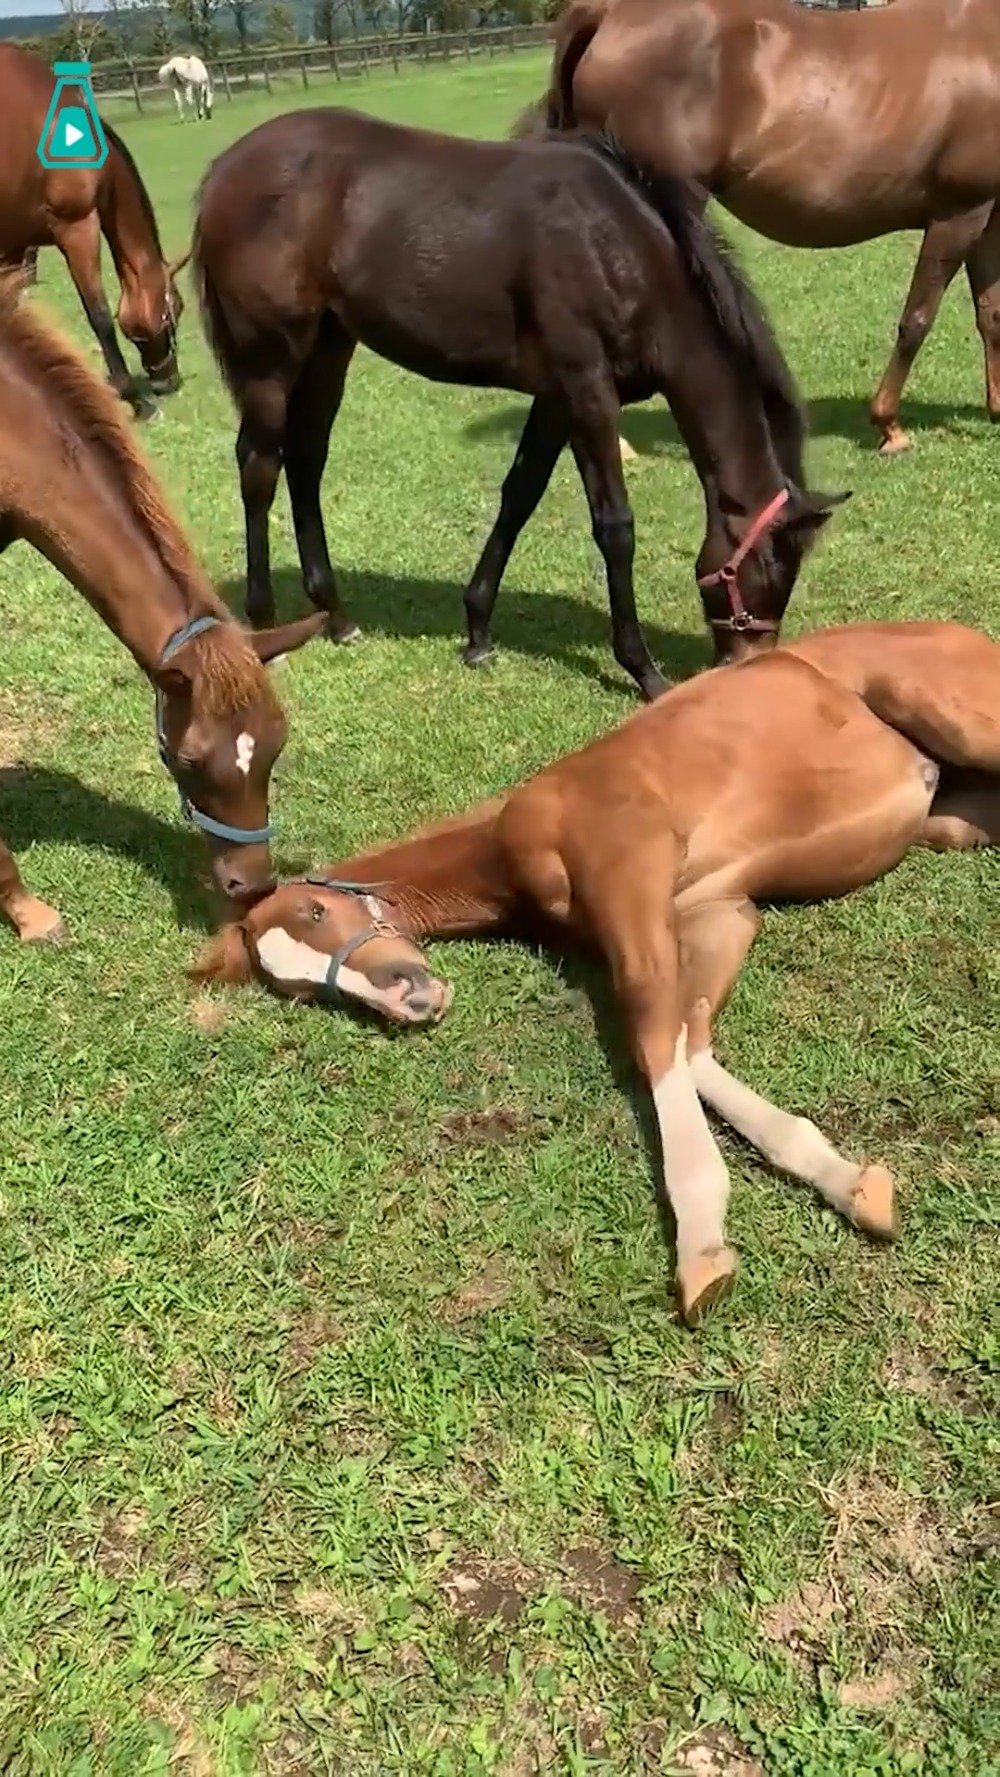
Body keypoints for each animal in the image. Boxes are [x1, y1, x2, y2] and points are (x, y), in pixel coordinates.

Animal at [0, 43, 182, 420]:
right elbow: (99, 315)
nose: (168, 381)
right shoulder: (77, 226)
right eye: (177, 308)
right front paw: (135, 399)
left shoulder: (14, 245)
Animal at [192, 109, 848, 701]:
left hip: (329, 347)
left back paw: (336, 615)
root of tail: (223, 169)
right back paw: (265, 626)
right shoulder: (587, 391)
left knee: (305, 461)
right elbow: (614, 527)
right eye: (773, 566)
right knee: (259, 466)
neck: (621, 249)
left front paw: (478, 631)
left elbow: (520, 495)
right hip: (270, 360)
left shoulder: (556, 398)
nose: (748, 662)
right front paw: (643, 669)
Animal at [192, 618, 1000, 1325]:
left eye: (318, 912)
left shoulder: (629, 873)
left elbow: (652, 1037)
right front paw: (852, 1183)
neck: (506, 844)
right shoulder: (716, 914)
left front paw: (702, 1250)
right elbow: (691, 1043)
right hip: (958, 821)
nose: (411, 998)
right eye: (300, 990)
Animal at [524, 0, 1000, 455]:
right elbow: (916, 321)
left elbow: (990, 314)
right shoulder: (959, 212)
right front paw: (889, 427)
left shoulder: (987, 215)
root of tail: (607, 14)